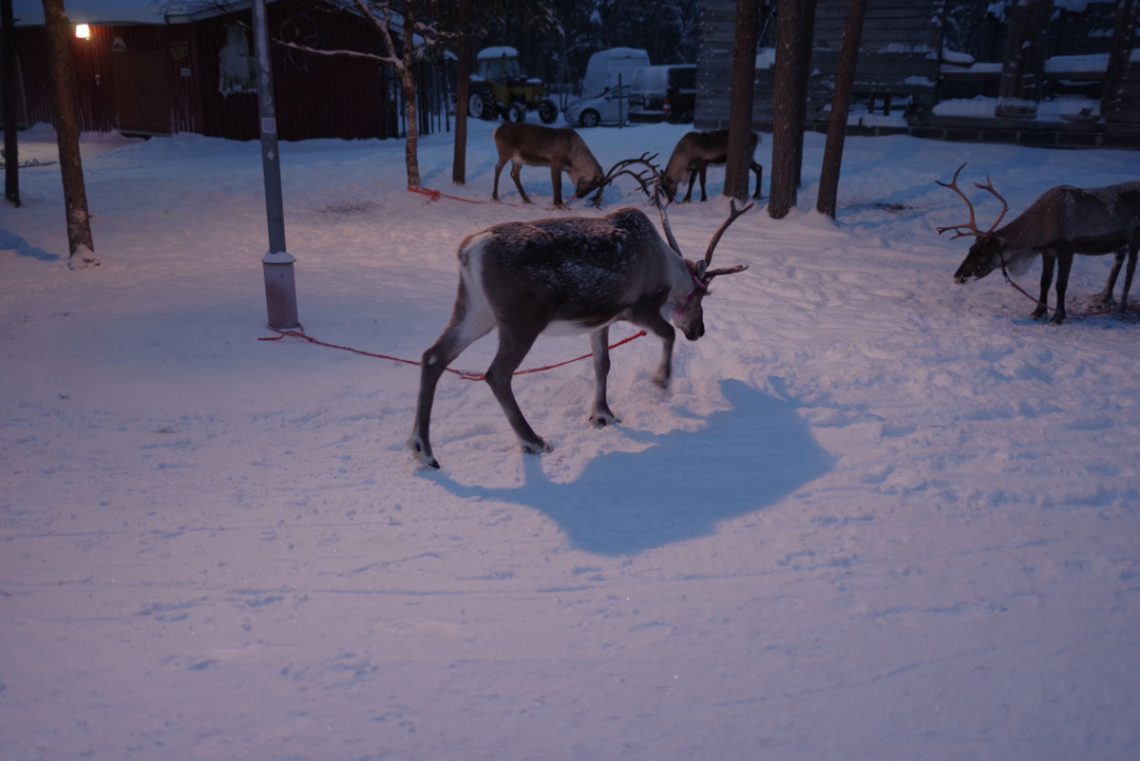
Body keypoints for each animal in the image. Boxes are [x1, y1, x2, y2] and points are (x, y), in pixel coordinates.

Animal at [408, 196, 752, 470]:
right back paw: (533, 440)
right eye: (703, 296)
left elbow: (602, 364)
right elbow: (668, 333)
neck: (668, 271)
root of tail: (469, 250)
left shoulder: (601, 321)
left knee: (433, 356)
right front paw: (662, 380)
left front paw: (602, 413)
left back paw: (423, 450)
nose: (699, 330)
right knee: (496, 374)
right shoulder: (638, 308)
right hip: (521, 320)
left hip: (476, 310)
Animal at [938, 163, 1140, 324]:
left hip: (1135, 239)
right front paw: (1038, 312)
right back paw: (1105, 298)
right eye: (971, 248)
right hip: (1120, 243)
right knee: (1118, 260)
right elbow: (1045, 281)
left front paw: (1058, 316)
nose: (957, 276)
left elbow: (1060, 284)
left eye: (984, 252)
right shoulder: (1047, 251)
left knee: (1130, 272)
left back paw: (1121, 309)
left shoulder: (1067, 249)